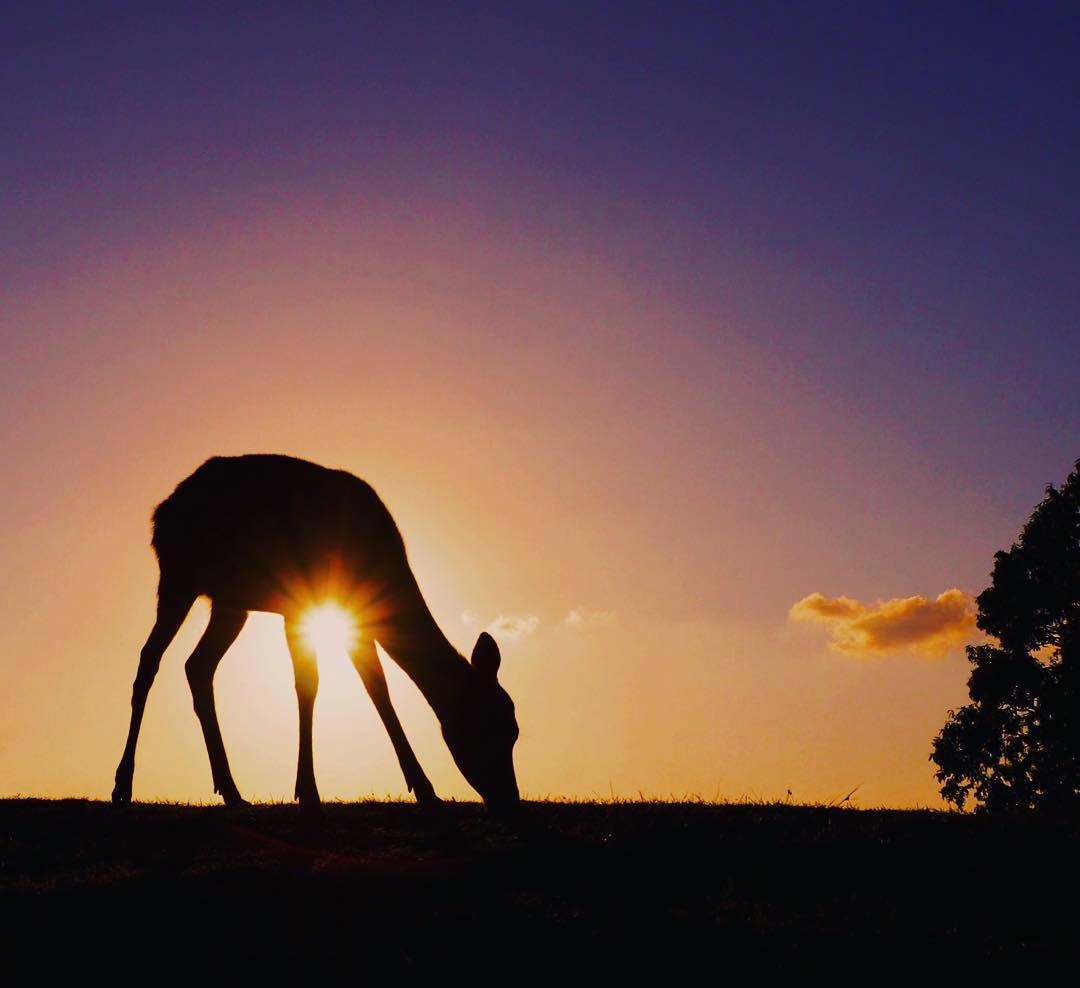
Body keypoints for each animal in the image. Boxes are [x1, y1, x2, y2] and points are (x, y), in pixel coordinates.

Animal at [113, 453, 522, 820]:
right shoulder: (299, 603)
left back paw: (231, 791)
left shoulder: (357, 612)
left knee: (197, 665)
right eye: (488, 726)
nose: (510, 802)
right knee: (149, 659)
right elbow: (309, 684)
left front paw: (426, 790)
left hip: (230, 602)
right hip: (178, 577)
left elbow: (377, 688)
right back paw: (123, 785)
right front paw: (308, 793)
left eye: (515, 729)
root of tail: (161, 513)